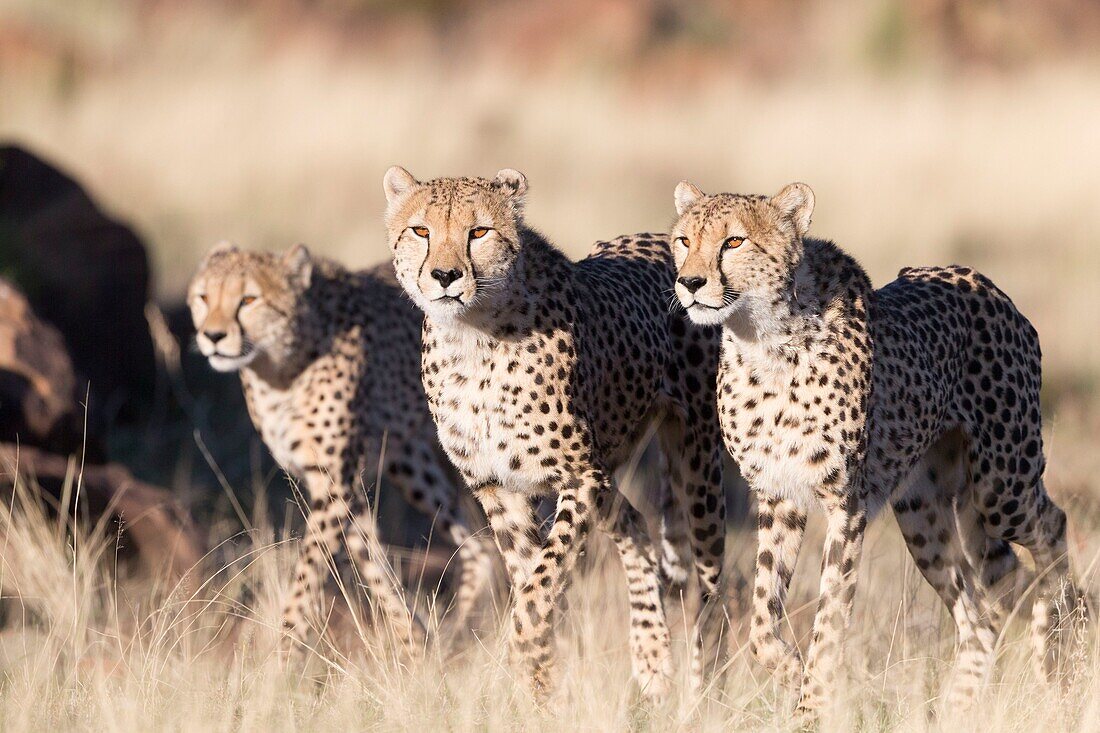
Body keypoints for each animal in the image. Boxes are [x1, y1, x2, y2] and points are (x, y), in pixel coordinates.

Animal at [189, 242, 495, 651]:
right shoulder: (341, 486)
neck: (278, 370)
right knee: (479, 548)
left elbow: (307, 577)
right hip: (410, 464)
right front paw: (414, 644)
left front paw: (282, 656)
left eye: (248, 299)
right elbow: (375, 567)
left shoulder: (334, 482)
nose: (213, 336)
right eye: (204, 297)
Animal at [382, 167, 726, 704]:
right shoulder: (498, 487)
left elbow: (538, 589)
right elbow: (531, 577)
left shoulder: (578, 477)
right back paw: (651, 658)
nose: (444, 276)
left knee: (710, 583)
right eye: (420, 231)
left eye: (478, 232)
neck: (472, 338)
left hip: (698, 460)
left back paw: (701, 688)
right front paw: (541, 686)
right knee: (635, 526)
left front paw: (528, 654)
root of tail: (668, 241)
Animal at [664, 182, 1078, 713]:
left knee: (1052, 528)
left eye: (733, 241)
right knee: (984, 616)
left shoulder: (847, 504)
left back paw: (1064, 630)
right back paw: (957, 708)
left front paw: (811, 706)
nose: (690, 282)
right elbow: (760, 620)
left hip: (1000, 484)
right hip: (923, 514)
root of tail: (984, 282)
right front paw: (789, 672)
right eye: (683, 240)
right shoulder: (779, 496)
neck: (763, 340)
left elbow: (829, 621)